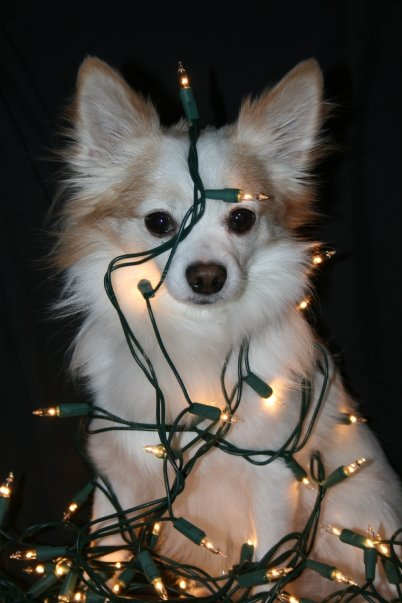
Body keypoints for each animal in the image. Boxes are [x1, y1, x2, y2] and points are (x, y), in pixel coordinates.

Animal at [55, 57, 402, 599]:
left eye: (241, 219)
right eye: (159, 223)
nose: (207, 276)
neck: (194, 340)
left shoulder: (275, 484)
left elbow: (265, 574)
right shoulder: (117, 480)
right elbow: (103, 561)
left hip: (352, 524)